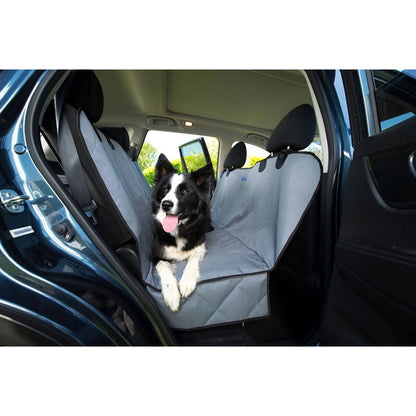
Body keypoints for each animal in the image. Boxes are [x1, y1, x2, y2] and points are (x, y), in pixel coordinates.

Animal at [151, 154, 213, 310]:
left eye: (184, 191)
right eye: (165, 189)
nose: (166, 204)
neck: (179, 229)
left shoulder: (199, 248)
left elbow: (192, 259)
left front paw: (187, 282)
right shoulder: (156, 255)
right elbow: (163, 267)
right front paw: (171, 294)